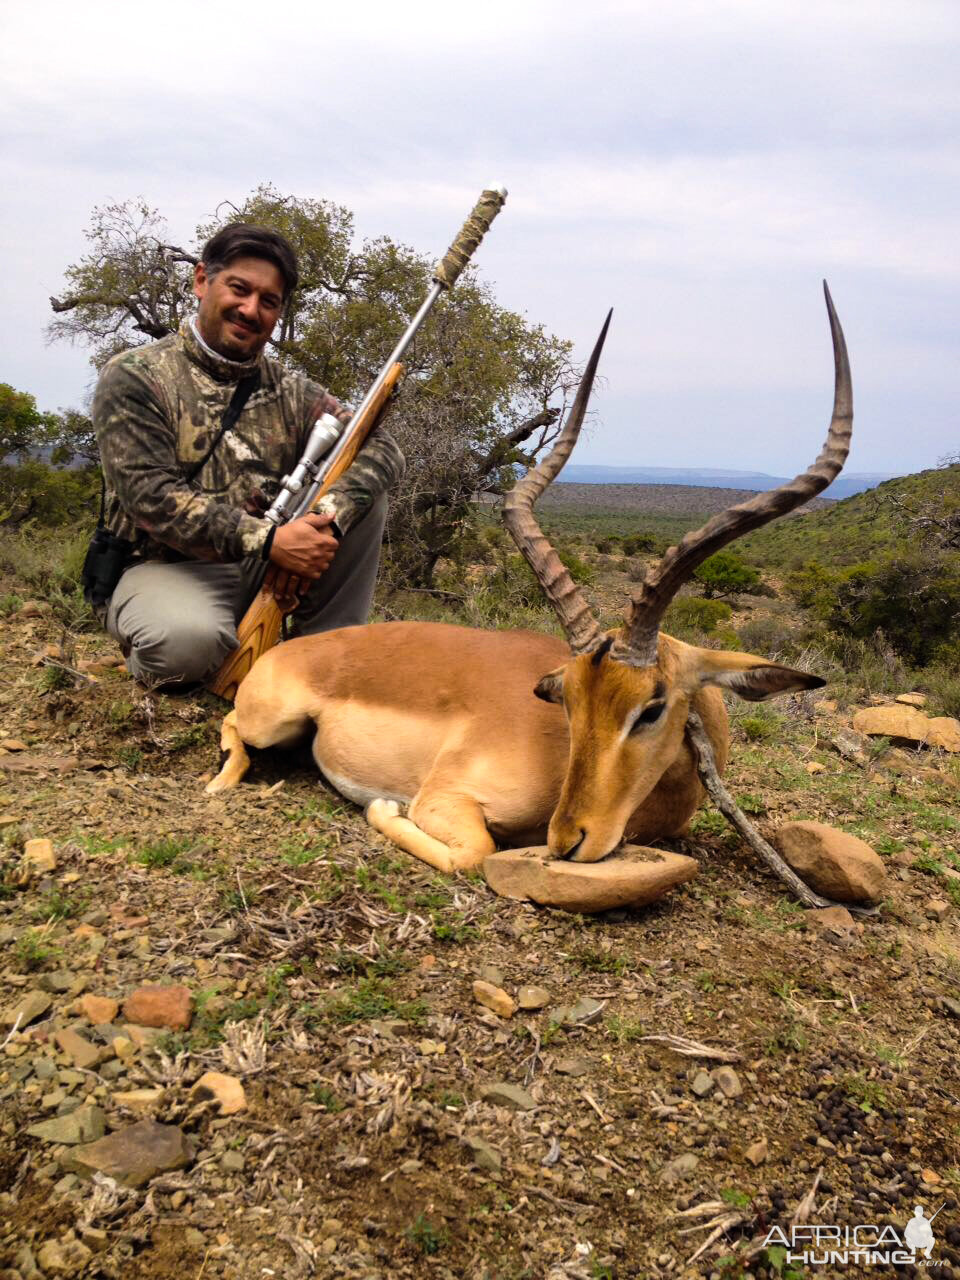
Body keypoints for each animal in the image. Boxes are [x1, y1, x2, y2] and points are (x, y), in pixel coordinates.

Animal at [207, 286, 855, 880]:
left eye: (651, 708)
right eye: (567, 700)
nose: (567, 839)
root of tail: (290, 650)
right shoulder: (445, 799)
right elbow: (473, 851)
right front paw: (386, 809)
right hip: (270, 720)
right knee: (232, 724)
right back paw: (223, 781)